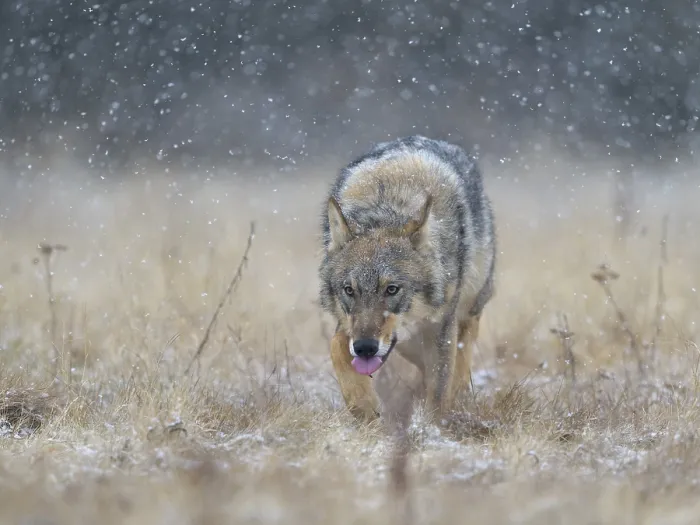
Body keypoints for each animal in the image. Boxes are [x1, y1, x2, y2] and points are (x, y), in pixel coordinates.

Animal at [318, 135, 497, 422]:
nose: (365, 348)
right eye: (349, 290)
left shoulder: (441, 328)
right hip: (408, 344)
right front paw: (365, 408)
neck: (386, 206)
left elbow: (439, 392)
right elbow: (336, 348)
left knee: (462, 357)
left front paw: (431, 428)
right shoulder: (347, 326)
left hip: (466, 310)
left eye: (392, 289)